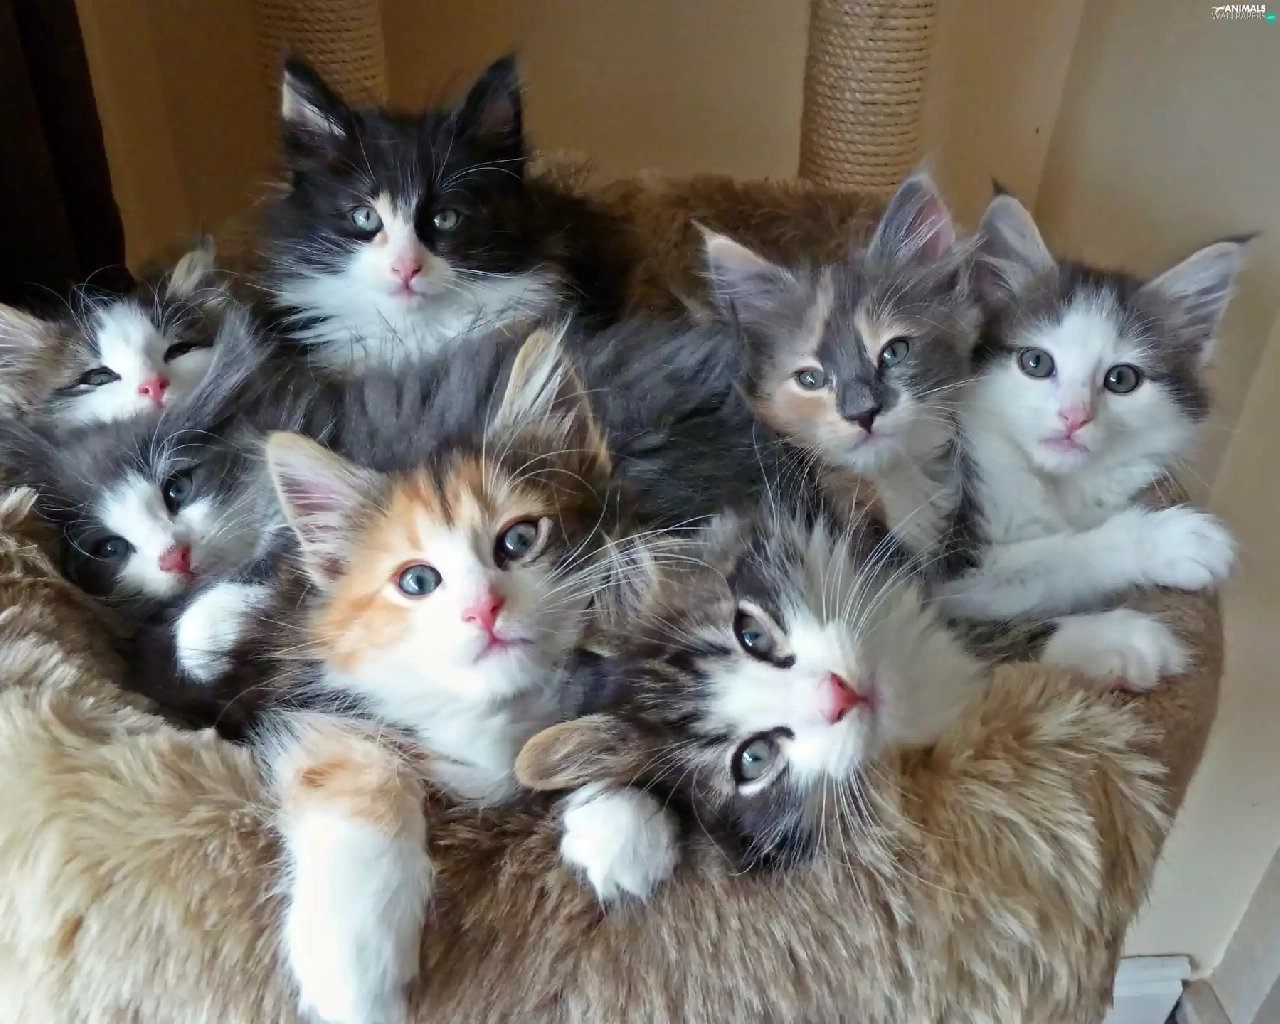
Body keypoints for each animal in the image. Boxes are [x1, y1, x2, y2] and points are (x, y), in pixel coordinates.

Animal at [933, 188, 1243, 688]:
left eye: (1121, 379)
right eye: (1036, 363)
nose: (1073, 417)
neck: (1057, 486)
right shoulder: (950, 566)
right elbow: (1045, 559)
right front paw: (1171, 543)